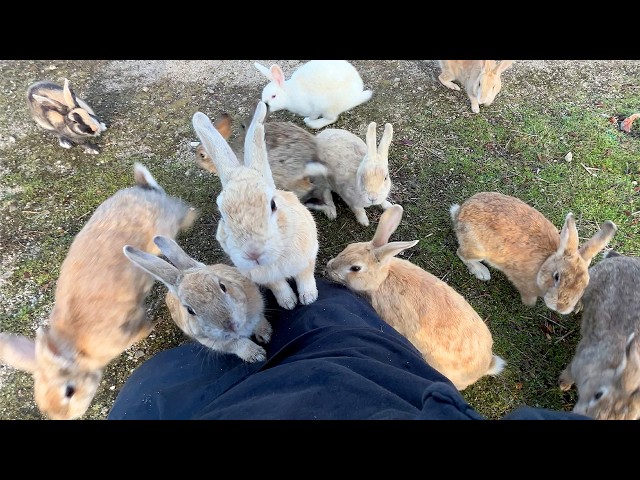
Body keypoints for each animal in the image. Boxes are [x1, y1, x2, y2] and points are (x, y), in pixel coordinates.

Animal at [0, 163, 197, 420]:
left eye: (70, 391)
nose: (67, 417)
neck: (78, 349)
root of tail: (141, 191)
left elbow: (139, 328)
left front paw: (149, 327)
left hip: (164, 227)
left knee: (179, 213)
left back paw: (192, 216)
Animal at [123, 235, 272, 363]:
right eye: (190, 310)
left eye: (223, 286)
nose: (230, 326)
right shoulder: (218, 343)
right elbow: (239, 344)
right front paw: (257, 355)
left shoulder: (257, 308)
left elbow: (259, 321)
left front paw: (266, 335)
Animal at [192, 101, 319, 311]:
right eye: (222, 215)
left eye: (273, 205)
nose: (253, 253)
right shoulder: (264, 277)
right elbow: (279, 286)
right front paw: (288, 303)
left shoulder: (306, 259)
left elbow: (305, 278)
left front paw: (309, 298)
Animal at [449, 191, 617, 314]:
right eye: (557, 277)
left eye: (584, 285)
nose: (561, 308)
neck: (544, 263)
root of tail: (459, 213)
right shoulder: (523, 283)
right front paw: (529, 304)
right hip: (477, 249)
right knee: (461, 253)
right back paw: (481, 272)